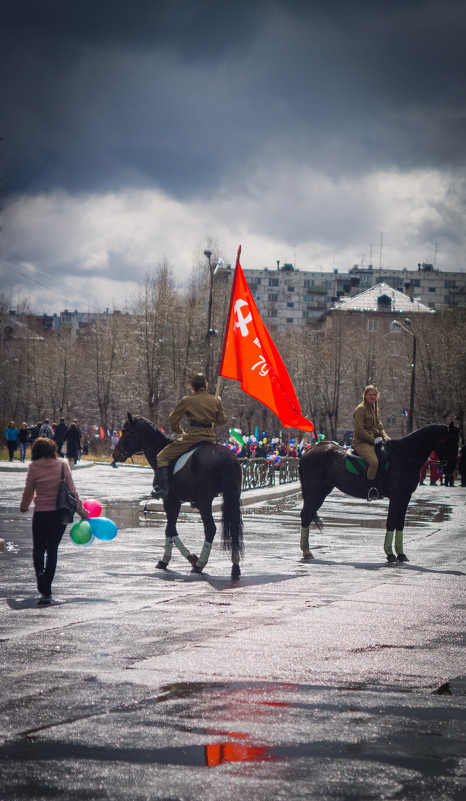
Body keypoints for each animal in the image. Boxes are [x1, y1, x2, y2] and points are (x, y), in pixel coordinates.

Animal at [113, 412, 244, 576]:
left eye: (127, 433)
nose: (115, 454)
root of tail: (225, 456)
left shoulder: (169, 500)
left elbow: (170, 529)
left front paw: (175, 559)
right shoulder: (176, 502)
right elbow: (171, 530)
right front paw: (181, 558)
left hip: (204, 501)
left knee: (210, 529)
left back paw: (200, 564)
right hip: (232, 497)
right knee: (234, 528)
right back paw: (235, 566)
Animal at [300, 424, 450, 564]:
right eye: (447, 440)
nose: (448, 467)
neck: (404, 456)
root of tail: (310, 450)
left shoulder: (405, 497)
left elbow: (400, 524)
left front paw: (401, 554)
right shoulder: (396, 497)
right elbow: (391, 523)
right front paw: (390, 554)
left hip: (323, 491)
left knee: (308, 514)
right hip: (313, 490)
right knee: (306, 514)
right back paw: (306, 551)